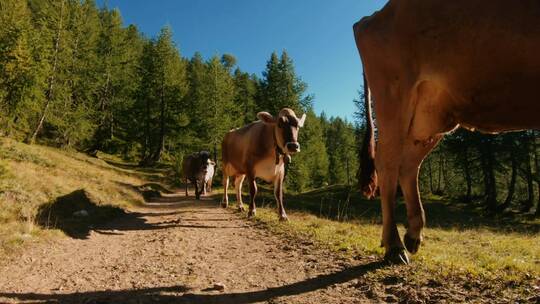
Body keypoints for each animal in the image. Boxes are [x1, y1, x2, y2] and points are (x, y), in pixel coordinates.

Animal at [354, 0, 540, 264]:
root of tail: (371, 18)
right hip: (394, 96)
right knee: (387, 162)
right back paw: (394, 245)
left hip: (430, 116)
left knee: (409, 164)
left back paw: (413, 236)